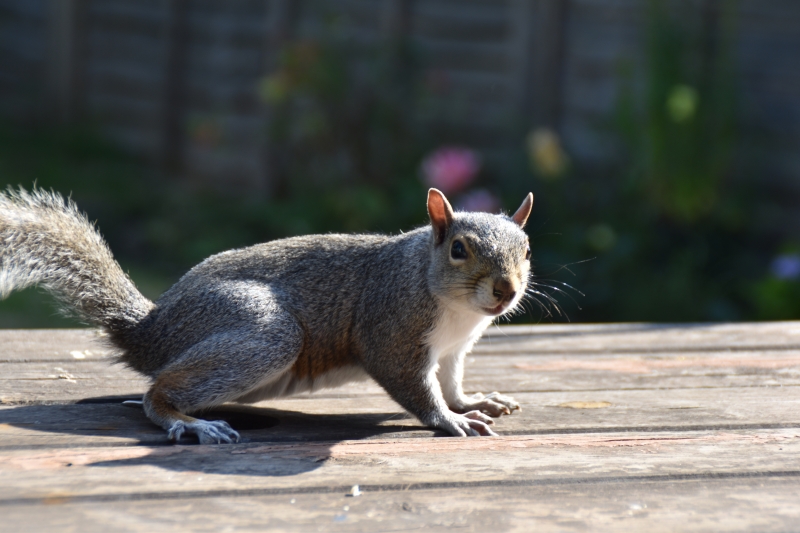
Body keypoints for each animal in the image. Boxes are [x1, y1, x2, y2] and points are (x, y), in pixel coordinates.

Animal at [4, 185, 536, 442]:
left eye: (527, 249)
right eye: (459, 249)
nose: (505, 290)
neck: (455, 311)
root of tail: (149, 330)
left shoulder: (452, 351)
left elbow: (451, 383)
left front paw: (473, 402)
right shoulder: (392, 333)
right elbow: (418, 389)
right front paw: (448, 420)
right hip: (263, 333)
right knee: (157, 391)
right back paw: (189, 422)